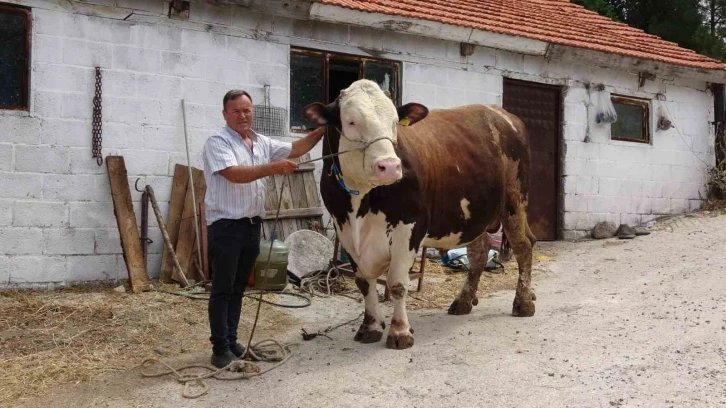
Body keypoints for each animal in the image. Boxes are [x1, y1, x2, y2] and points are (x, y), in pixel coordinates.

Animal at [304, 79, 536, 350]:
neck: (361, 200)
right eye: (351, 121)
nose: (390, 166)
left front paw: (400, 331)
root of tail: (503, 114)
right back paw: (464, 301)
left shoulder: (410, 226)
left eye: (395, 122)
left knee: (523, 246)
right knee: (479, 254)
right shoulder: (346, 230)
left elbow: (397, 282)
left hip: (515, 201)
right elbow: (363, 282)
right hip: (475, 213)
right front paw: (370, 326)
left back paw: (523, 302)